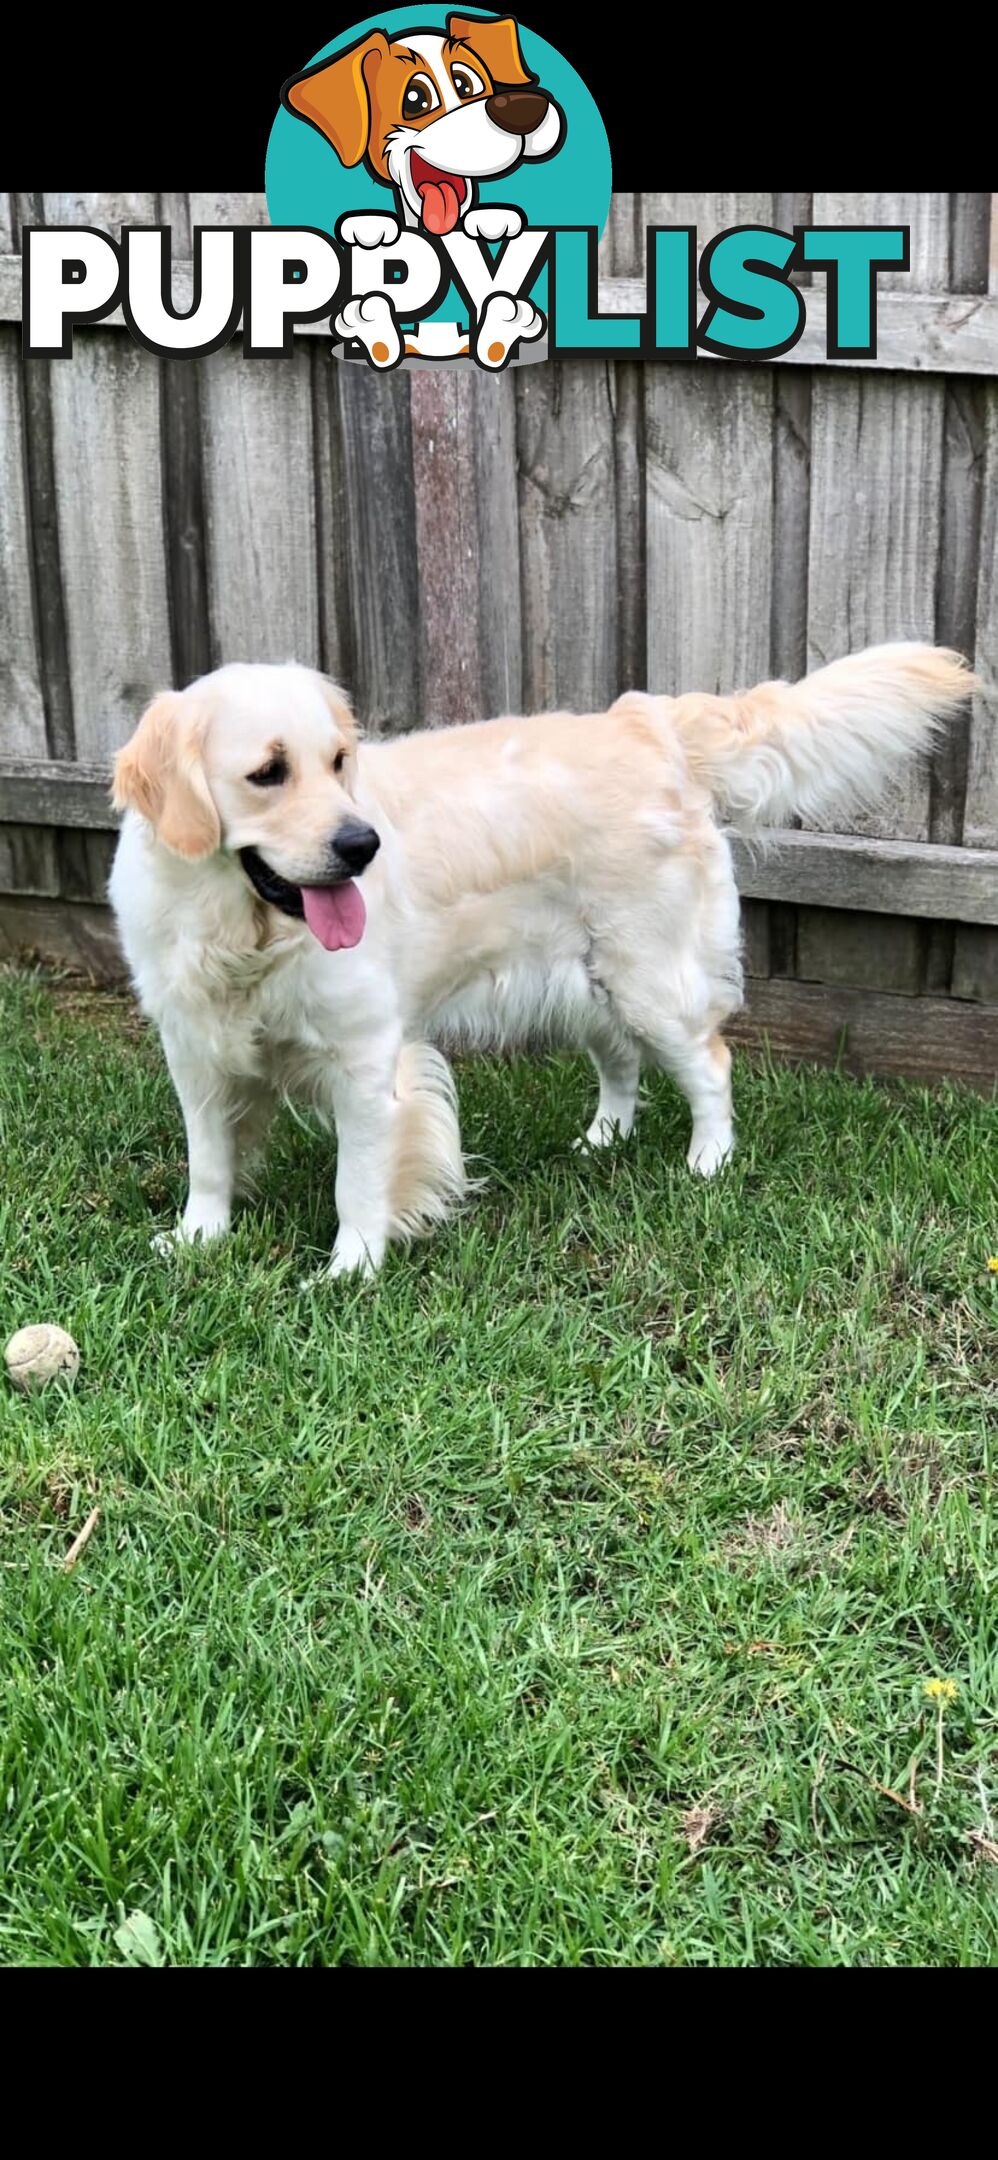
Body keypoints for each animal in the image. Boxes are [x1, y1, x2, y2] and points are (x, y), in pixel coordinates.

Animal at [111, 648, 976, 1270]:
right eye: (268, 772)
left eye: (338, 762)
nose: (362, 845)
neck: (242, 930)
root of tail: (649, 720)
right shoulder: (193, 1049)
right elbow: (208, 1158)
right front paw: (198, 1239)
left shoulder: (364, 1059)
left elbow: (356, 1180)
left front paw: (349, 1270)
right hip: (583, 983)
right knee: (621, 1062)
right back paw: (603, 1140)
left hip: (649, 977)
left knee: (711, 1064)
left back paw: (707, 1161)